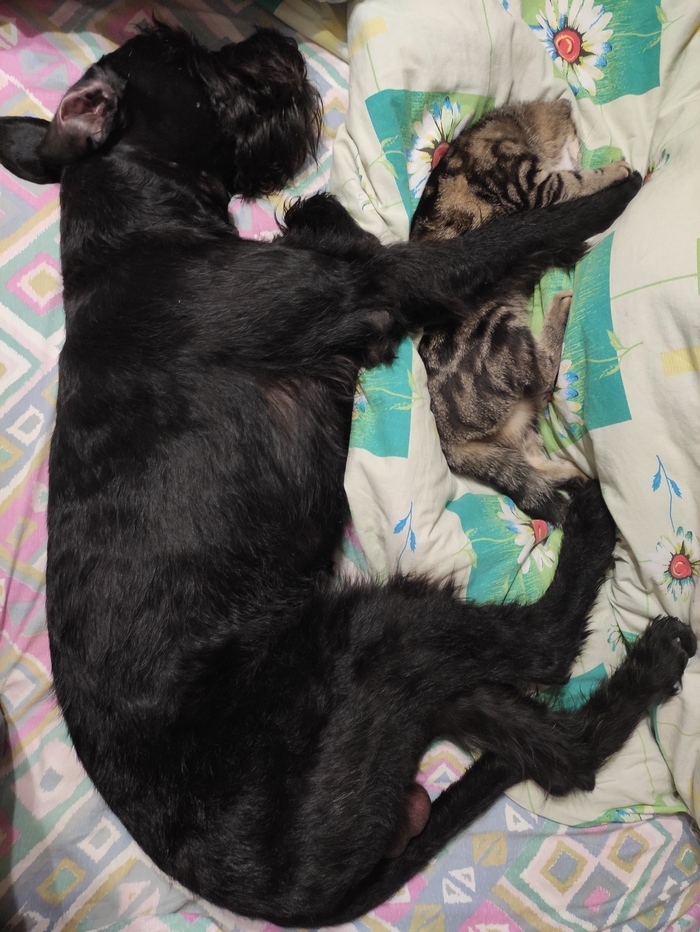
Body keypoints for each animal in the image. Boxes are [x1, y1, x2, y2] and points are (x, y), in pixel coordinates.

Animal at [411, 99, 631, 525]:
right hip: (498, 331)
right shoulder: (537, 185)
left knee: (532, 463)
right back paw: (561, 304)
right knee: (543, 373)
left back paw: (576, 475)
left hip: (520, 421)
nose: (580, 148)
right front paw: (616, 170)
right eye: (575, 138)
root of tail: (448, 441)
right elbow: (578, 181)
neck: (509, 126)